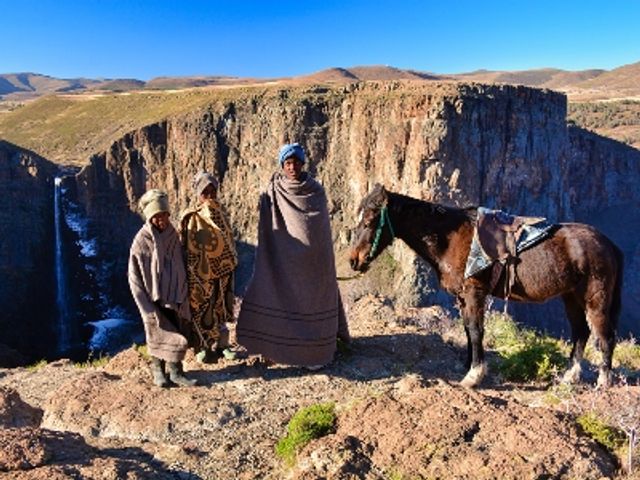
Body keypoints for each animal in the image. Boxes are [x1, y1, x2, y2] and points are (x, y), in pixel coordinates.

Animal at [348, 183, 624, 386]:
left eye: (370, 221)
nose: (353, 261)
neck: (449, 238)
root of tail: (609, 244)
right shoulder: (462, 297)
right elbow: (468, 329)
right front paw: (469, 365)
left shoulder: (474, 292)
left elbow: (476, 330)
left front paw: (473, 375)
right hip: (572, 297)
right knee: (581, 333)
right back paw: (569, 377)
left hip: (595, 299)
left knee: (605, 336)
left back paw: (603, 382)